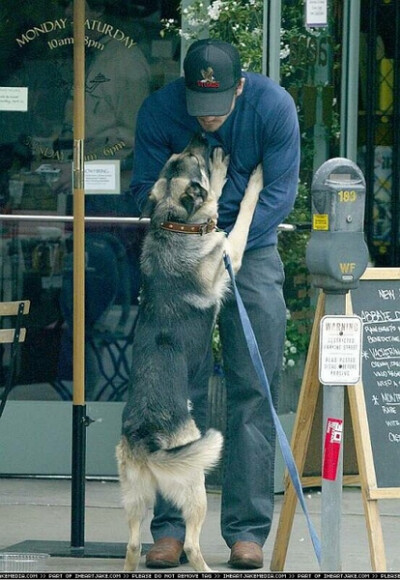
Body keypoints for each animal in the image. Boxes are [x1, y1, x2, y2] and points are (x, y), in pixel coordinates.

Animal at [115, 133, 262, 572]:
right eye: (195, 162)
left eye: (178, 157)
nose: (200, 137)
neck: (175, 223)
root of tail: (144, 436)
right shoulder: (230, 250)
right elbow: (241, 213)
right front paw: (239, 176)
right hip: (195, 485)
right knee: (193, 544)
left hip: (134, 499)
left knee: (133, 545)